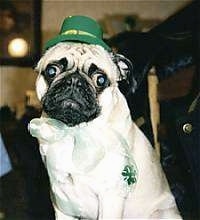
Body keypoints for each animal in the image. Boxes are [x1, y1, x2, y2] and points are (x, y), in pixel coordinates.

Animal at [29, 41, 181, 220]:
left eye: (100, 80)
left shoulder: (110, 197)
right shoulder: (61, 201)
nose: (74, 81)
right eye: (52, 71)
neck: (75, 132)